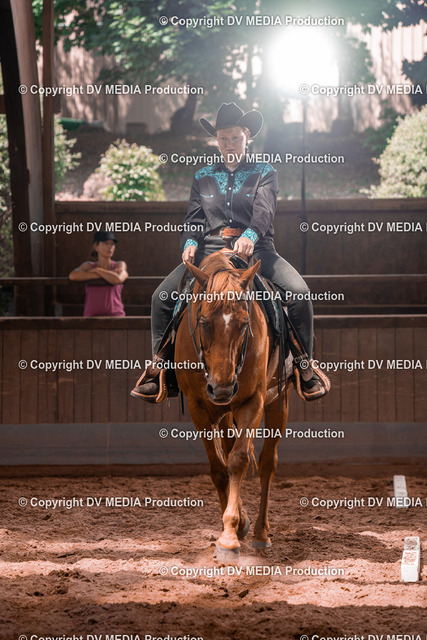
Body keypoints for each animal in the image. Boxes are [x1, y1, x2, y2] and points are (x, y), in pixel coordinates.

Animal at [175, 249, 293, 563]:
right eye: (203, 322)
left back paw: (261, 532)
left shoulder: (253, 401)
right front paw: (235, 525)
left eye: (244, 324)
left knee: (267, 462)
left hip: (278, 403)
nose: (223, 388)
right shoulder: (198, 408)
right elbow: (218, 468)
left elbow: (238, 461)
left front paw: (229, 537)